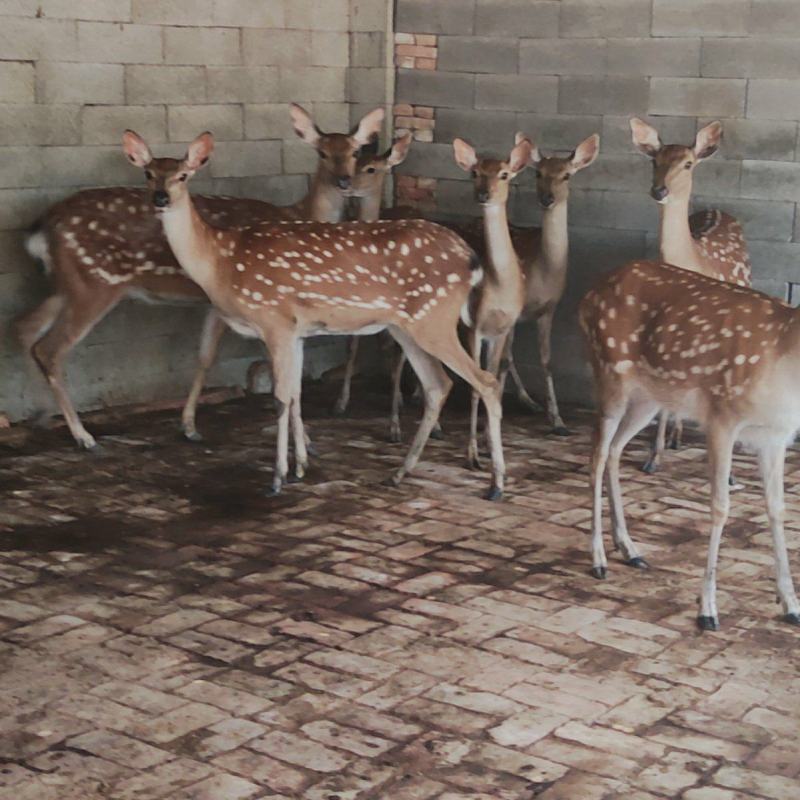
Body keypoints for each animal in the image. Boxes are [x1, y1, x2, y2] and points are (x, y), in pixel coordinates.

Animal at [16, 104, 385, 450]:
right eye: (321, 152)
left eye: (354, 152)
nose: (343, 181)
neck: (298, 214)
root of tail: (43, 226)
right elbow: (272, 369)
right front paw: (304, 437)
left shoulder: (216, 303)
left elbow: (205, 358)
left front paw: (189, 426)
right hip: (95, 283)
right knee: (51, 348)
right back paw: (83, 435)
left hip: (65, 285)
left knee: (25, 328)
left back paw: (40, 415)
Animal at [123, 129, 507, 499]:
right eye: (148, 174)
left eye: (183, 175)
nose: (160, 198)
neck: (220, 262)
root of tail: (470, 258)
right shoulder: (296, 331)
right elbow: (295, 393)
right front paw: (301, 467)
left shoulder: (274, 320)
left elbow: (280, 398)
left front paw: (278, 477)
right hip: (407, 326)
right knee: (438, 385)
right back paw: (400, 472)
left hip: (433, 318)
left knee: (486, 381)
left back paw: (495, 483)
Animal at [580, 259, 800, 631]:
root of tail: (587, 295)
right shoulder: (722, 417)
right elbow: (720, 506)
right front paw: (707, 609)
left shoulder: (775, 435)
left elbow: (777, 508)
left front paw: (790, 604)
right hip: (609, 372)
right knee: (596, 455)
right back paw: (598, 559)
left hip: (648, 398)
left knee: (614, 451)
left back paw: (629, 549)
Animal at [630, 118, 752, 474]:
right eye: (654, 161)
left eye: (687, 163)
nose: (660, 191)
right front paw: (653, 458)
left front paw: (729, 474)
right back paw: (675, 437)